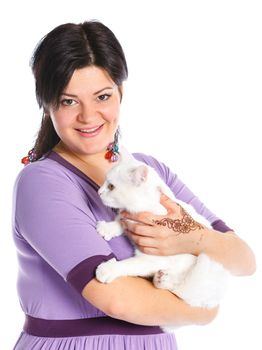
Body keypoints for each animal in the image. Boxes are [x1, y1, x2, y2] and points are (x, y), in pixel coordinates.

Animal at [95, 150, 228, 328]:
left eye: (111, 187)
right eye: (105, 182)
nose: (99, 191)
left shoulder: (150, 259)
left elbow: (128, 265)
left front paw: (108, 270)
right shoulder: (129, 219)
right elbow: (120, 222)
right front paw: (107, 228)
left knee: (182, 291)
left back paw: (162, 280)